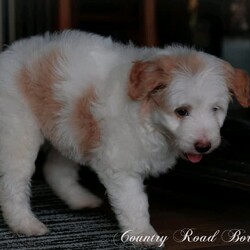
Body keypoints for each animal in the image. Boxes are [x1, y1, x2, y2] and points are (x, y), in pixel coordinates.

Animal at [0, 30, 250, 245]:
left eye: (215, 109)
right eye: (181, 111)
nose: (203, 146)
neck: (148, 117)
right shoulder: (121, 167)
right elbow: (135, 202)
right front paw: (142, 234)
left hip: (70, 127)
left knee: (55, 169)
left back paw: (80, 199)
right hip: (20, 134)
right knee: (14, 184)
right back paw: (26, 224)